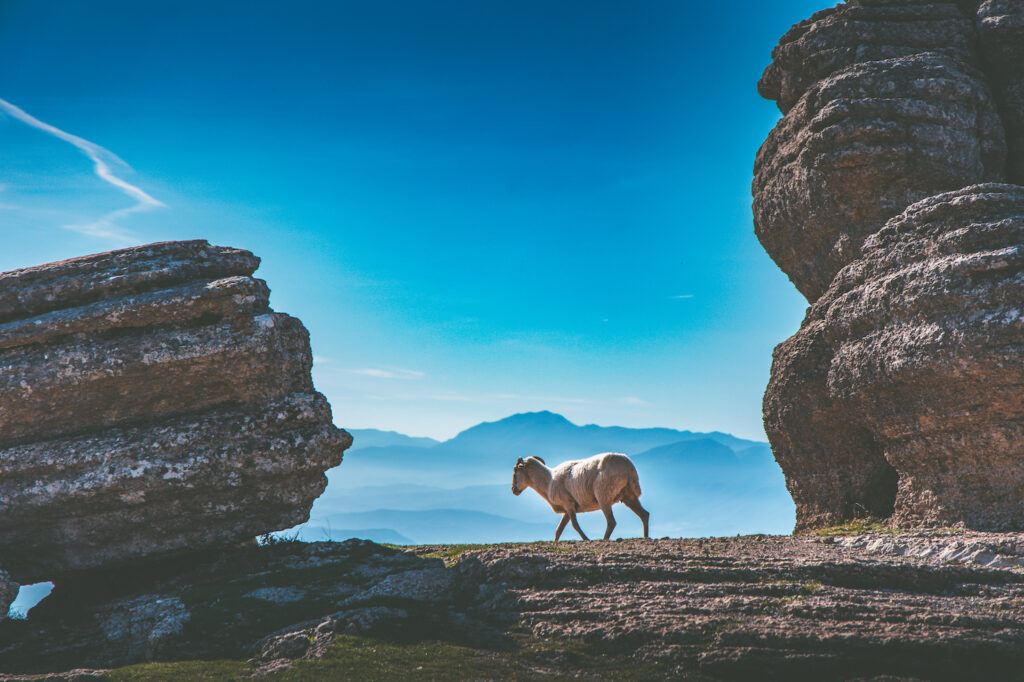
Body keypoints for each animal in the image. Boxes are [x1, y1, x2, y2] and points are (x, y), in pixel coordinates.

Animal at [509, 450, 647, 540]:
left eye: (515, 470)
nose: (513, 490)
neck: (548, 481)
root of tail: (628, 466)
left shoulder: (568, 504)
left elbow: (574, 525)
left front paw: (586, 539)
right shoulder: (567, 509)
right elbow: (558, 530)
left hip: (603, 497)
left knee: (611, 522)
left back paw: (604, 539)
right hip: (629, 496)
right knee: (644, 515)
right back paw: (646, 537)